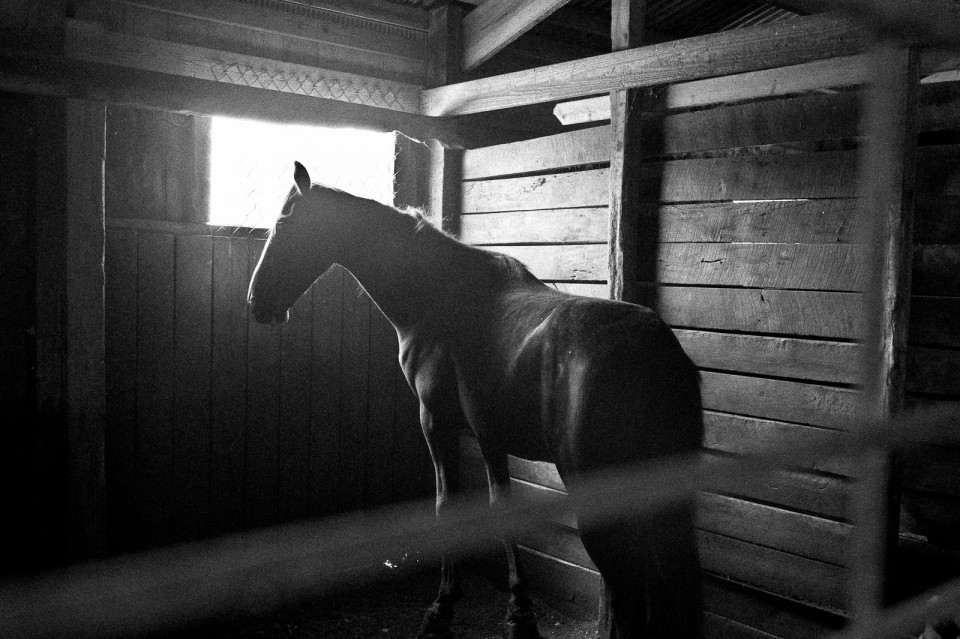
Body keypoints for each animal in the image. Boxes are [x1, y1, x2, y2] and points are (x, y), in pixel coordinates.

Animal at [244, 161, 700, 639]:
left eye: (282, 225)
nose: (256, 302)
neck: (438, 301)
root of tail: (653, 349)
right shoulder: (489, 436)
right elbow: (499, 508)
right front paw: (518, 613)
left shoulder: (436, 423)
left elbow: (447, 506)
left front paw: (444, 607)